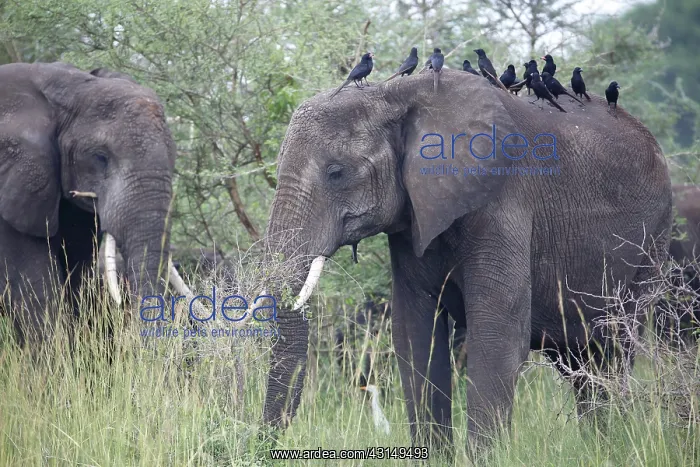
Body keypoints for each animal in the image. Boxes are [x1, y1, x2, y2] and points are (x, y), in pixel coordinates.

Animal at [261, 69, 673, 454]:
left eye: (336, 172)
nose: (265, 442)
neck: (392, 94)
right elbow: (415, 337)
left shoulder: (503, 201)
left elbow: (498, 336)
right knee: (584, 366)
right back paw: (600, 446)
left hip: (653, 242)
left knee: (614, 351)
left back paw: (615, 444)